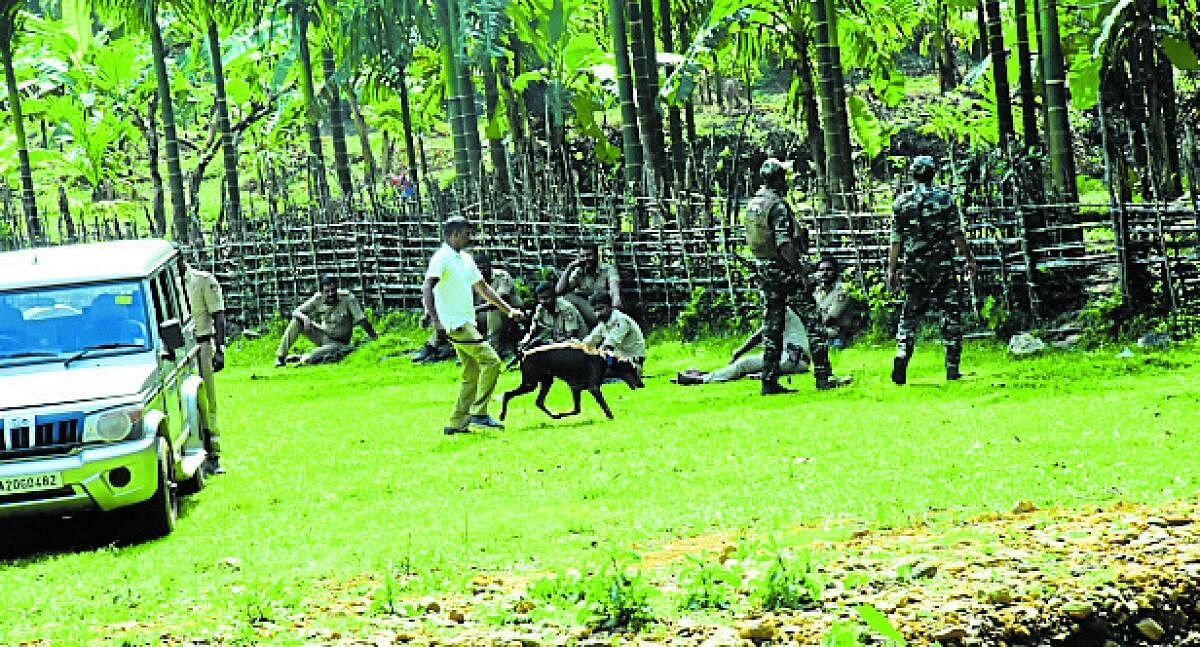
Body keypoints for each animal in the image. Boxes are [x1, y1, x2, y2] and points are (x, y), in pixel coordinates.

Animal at [499, 340, 648, 422]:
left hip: (546, 381)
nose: (642, 384)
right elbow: (604, 406)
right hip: (531, 383)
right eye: (633, 370)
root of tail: (523, 353)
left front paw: (561, 414)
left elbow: (576, 410)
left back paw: (554, 416)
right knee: (507, 394)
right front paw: (611, 416)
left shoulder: (576, 389)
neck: (605, 360)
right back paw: (502, 415)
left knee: (539, 402)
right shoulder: (593, 388)